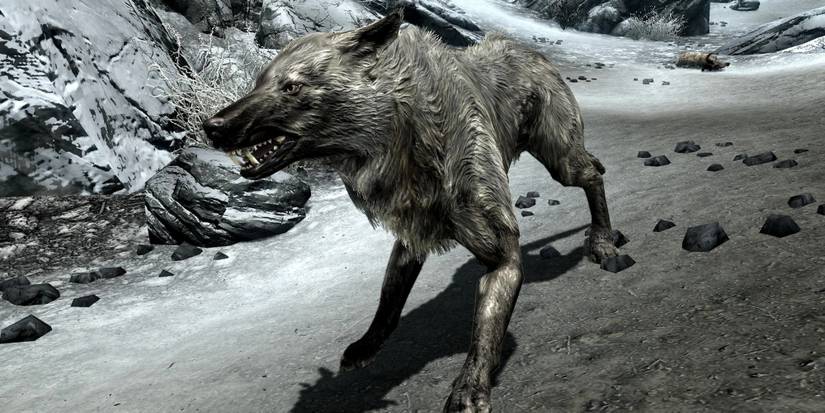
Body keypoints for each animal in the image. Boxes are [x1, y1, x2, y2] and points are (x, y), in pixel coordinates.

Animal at [204, 9, 619, 412]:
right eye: (259, 82)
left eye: (291, 87)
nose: (212, 126)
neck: (402, 132)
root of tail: (534, 53)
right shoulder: (411, 236)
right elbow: (389, 300)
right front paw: (367, 346)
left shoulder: (503, 258)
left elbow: (485, 330)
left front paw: (471, 388)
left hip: (560, 159)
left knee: (594, 172)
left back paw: (602, 242)